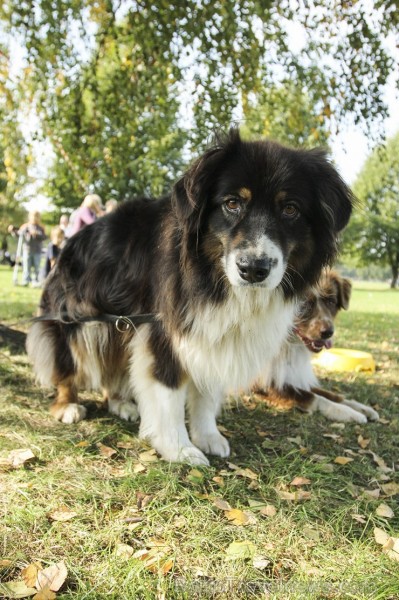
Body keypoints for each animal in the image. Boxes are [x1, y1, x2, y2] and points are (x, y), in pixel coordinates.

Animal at [26, 129, 354, 464]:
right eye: (232, 203)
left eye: (290, 209)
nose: (253, 269)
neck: (210, 275)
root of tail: (70, 243)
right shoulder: (164, 328)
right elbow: (169, 391)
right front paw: (179, 447)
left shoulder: (212, 332)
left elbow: (207, 390)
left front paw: (207, 436)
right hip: (76, 321)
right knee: (68, 363)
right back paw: (67, 404)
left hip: (119, 322)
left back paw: (119, 402)